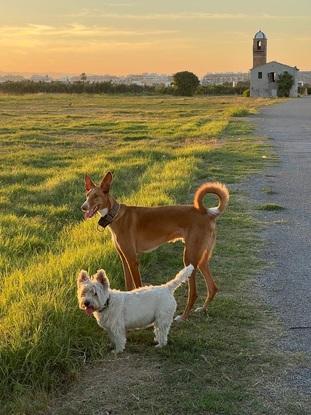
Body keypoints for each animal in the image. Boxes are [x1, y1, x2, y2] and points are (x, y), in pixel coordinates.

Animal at [81, 173, 230, 322]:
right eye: (87, 195)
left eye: (96, 196)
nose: (83, 207)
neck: (115, 215)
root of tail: (208, 214)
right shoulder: (124, 258)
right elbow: (129, 286)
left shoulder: (132, 260)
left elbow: (137, 285)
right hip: (201, 260)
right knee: (213, 287)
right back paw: (203, 309)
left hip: (189, 258)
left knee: (194, 293)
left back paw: (183, 316)